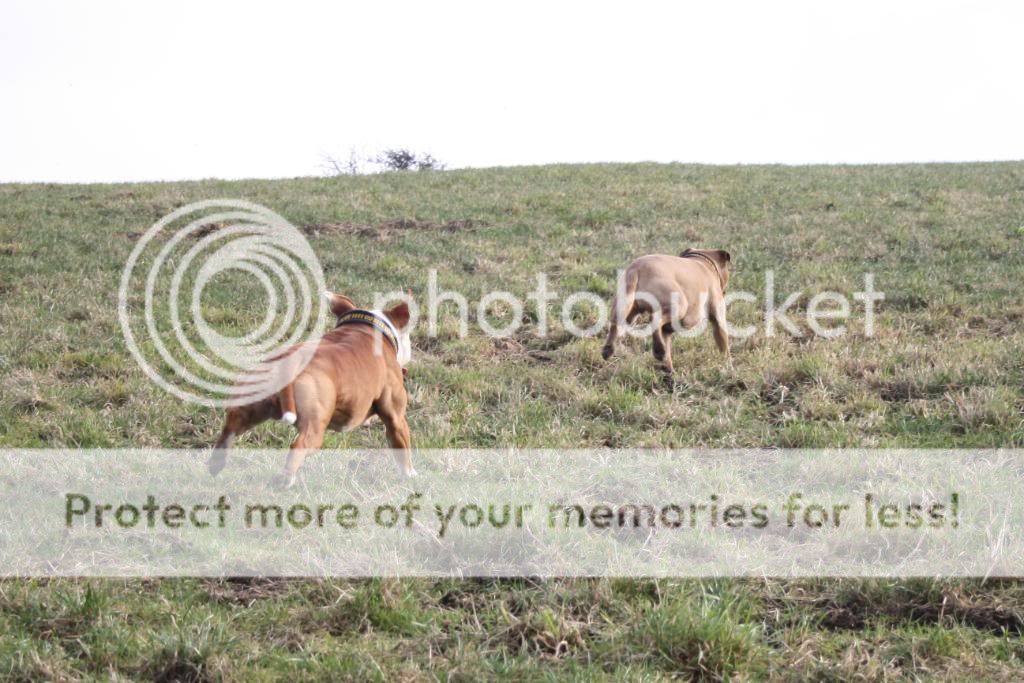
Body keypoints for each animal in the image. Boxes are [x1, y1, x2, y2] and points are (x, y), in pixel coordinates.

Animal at [205, 290, 413, 489]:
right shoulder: (396, 420)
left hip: (251, 408)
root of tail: (288, 361)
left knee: (230, 429)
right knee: (299, 446)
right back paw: (285, 480)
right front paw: (410, 475)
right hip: (315, 426)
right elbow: (403, 448)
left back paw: (216, 464)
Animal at [602, 248, 733, 374]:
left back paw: (608, 350)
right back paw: (658, 350)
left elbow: (667, 348)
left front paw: (668, 369)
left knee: (616, 325)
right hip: (679, 305)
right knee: (655, 320)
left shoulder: (666, 330)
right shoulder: (718, 321)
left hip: (626, 311)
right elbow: (724, 348)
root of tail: (637, 269)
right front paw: (728, 366)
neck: (704, 262)